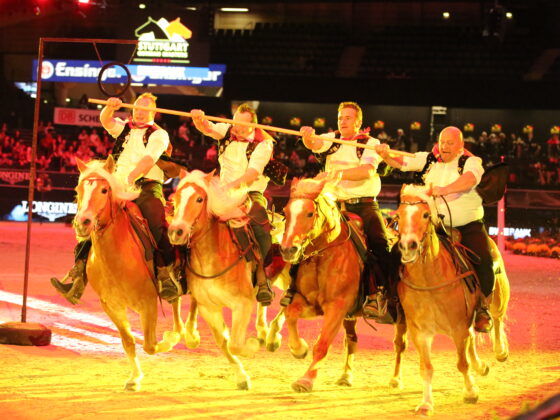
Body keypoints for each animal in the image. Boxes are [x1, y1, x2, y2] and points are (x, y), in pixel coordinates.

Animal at [72, 158, 198, 390]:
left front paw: (167, 343)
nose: (82, 222)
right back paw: (178, 332)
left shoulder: (147, 303)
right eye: (78, 189)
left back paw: (189, 336)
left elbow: (150, 345)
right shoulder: (111, 306)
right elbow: (128, 342)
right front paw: (134, 378)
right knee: (175, 300)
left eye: (104, 189)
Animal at [168, 171, 290, 390]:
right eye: (176, 199)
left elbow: (235, 343)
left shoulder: (242, 304)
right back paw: (264, 331)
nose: (176, 231)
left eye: (199, 199)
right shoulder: (209, 308)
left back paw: (274, 338)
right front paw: (241, 376)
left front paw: (251, 346)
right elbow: (224, 342)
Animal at [280, 178, 364, 394]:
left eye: (310, 213)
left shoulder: (337, 307)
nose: (288, 250)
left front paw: (306, 380)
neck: (323, 256)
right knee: (352, 340)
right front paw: (299, 349)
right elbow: (290, 314)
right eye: (285, 211)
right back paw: (345, 376)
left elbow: (322, 345)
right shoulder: (307, 301)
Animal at [392, 185, 510, 416]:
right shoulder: (420, 333)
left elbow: (462, 364)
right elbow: (426, 368)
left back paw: (501, 351)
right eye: (398, 215)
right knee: (474, 336)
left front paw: (471, 393)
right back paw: (481, 366)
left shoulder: (458, 328)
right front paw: (426, 403)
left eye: (425, 215)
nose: (408, 246)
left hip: (499, 297)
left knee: (498, 319)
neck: (431, 279)